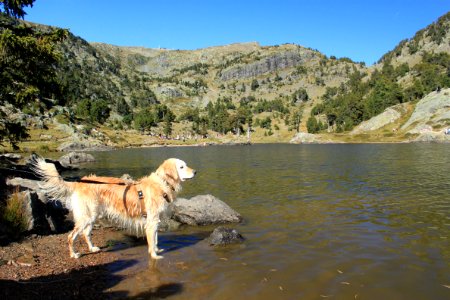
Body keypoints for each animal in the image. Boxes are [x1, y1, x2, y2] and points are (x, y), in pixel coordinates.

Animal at [30, 158, 194, 258]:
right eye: (181, 167)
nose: (195, 172)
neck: (162, 183)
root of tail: (79, 182)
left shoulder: (155, 221)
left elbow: (156, 239)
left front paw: (158, 249)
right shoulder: (151, 221)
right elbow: (152, 242)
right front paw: (155, 255)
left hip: (93, 216)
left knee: (86, 234)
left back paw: (92, 248)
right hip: (86, 216)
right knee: (71, 236)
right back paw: (74, 254)